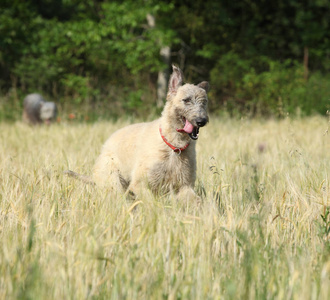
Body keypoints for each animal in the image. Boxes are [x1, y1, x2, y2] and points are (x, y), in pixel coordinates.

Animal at [67, 66, 210, 202]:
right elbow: (151, 203)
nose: (202, 121)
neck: (174, 145)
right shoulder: (140, 183)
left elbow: (197, 201)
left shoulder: (185, 185)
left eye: (204, 102)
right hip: (112, 179)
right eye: (186, 100)